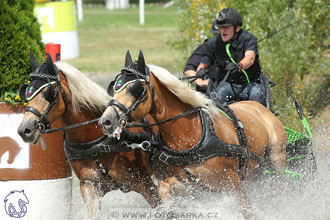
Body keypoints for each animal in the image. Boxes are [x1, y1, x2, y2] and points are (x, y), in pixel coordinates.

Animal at [98, 50, 288, 220]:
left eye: (135, 88)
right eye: (114, 87)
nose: (106, 121)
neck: (190, 133)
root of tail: (261, 107)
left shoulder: (233, 179)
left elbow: (248, 212)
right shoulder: (192, 184)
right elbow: (163, 188)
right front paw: (169, 212)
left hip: (275, 159)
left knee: (278, 189)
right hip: (256, 172)